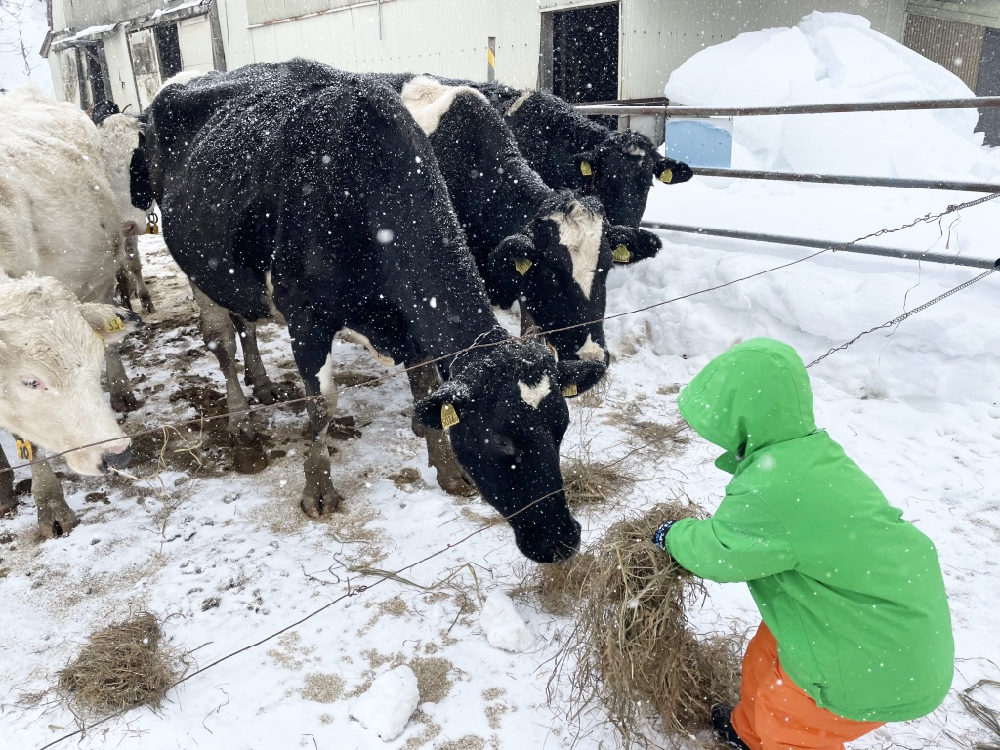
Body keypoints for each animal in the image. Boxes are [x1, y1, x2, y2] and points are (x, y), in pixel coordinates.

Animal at [129, 60, 604, 564]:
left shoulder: (408, 318)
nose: (562, 538)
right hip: (196, 267)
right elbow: (323, 403)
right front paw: (319, 490)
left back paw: (263, 384)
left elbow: (426, 388)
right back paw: (241, 417)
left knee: (246, 325)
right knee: (220, 339)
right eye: (500, 439)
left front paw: (447, 470)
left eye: (561, 426)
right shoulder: (307, 319)